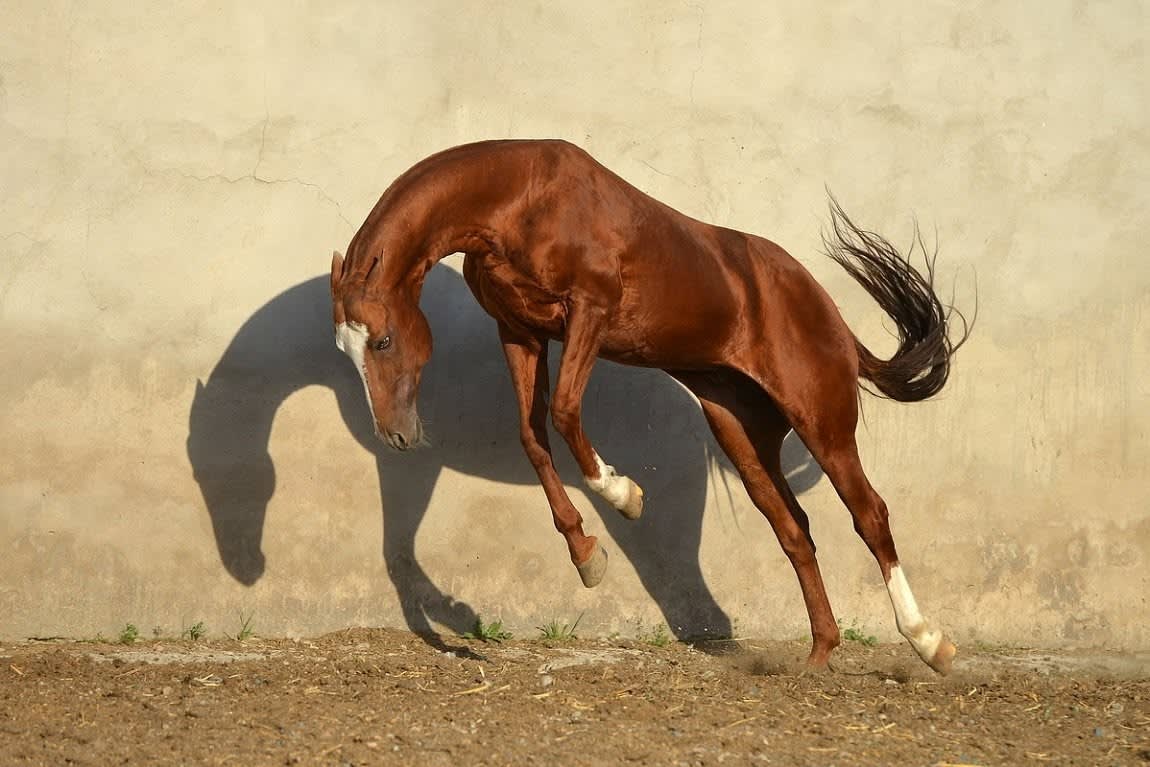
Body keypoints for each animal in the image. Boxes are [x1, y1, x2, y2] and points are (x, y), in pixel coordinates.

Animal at [330, 139, 971, 674]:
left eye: (382, 341)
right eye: (344, 348)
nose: (396, 435)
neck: (521, 197)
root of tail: (826, 312)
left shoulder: (588, 310)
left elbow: (565, 412)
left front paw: (625, 496)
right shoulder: (520, 332)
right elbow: (532, 434)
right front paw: (587, 557)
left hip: (823, 421)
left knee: (870, 515)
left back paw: (929, 643)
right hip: (745, 435)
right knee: (794, 530)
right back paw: (818, 655)